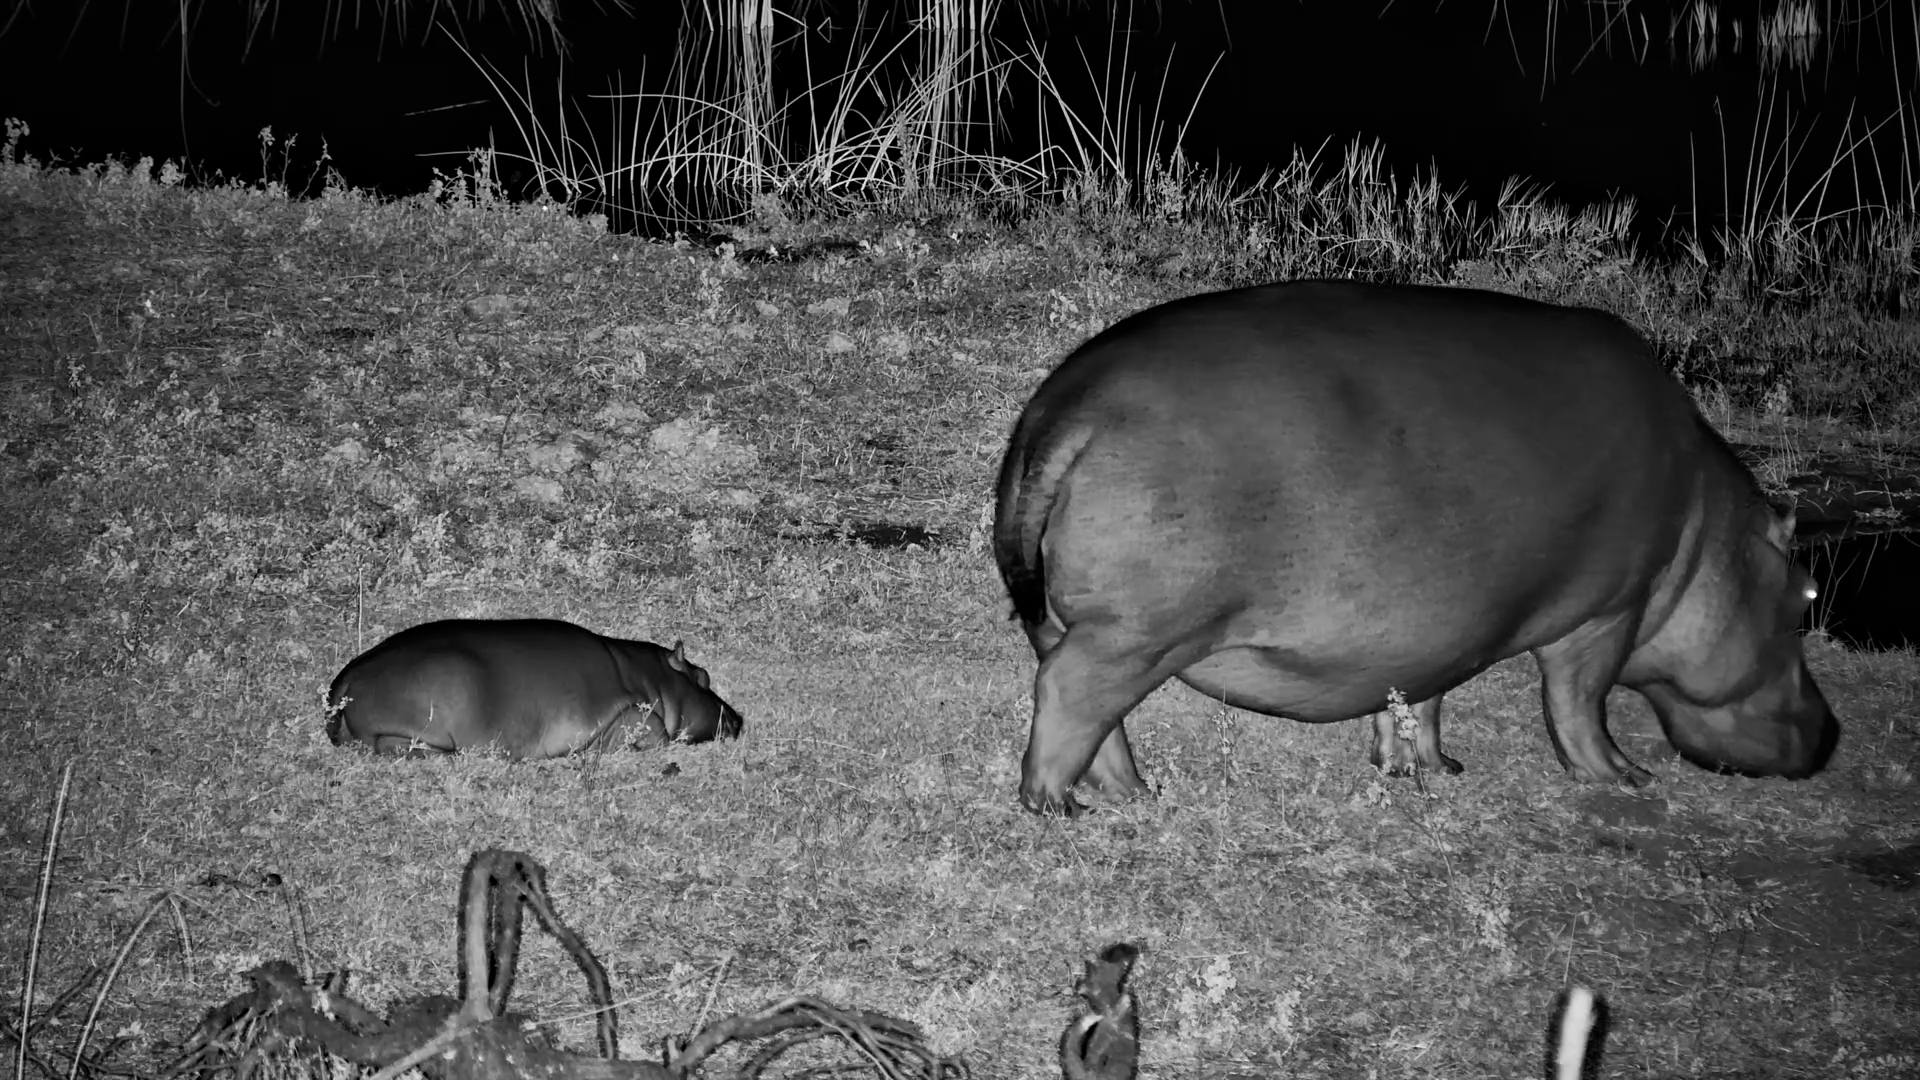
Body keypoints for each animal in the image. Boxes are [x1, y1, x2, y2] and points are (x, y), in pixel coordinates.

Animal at [326, 619, 743, 758]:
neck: (652, 677)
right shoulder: (627, 711)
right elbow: (653, 727)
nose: (739, 718)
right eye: (703, 676)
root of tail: (345, 679)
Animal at [994, 280, 1838, 814]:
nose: (1832, 732)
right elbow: (1579, 703)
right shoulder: (1609, 612)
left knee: (1091, 708)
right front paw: (1621, 779)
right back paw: (1056, 804)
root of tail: (1064, 407)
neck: (1705, 533)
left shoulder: (1449, 628)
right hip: (1136, 633)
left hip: (1084, 624)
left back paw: (1132, 793)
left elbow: (1422, 699)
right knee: (1070, 693)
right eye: (1806, 596)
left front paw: (1430, 768)